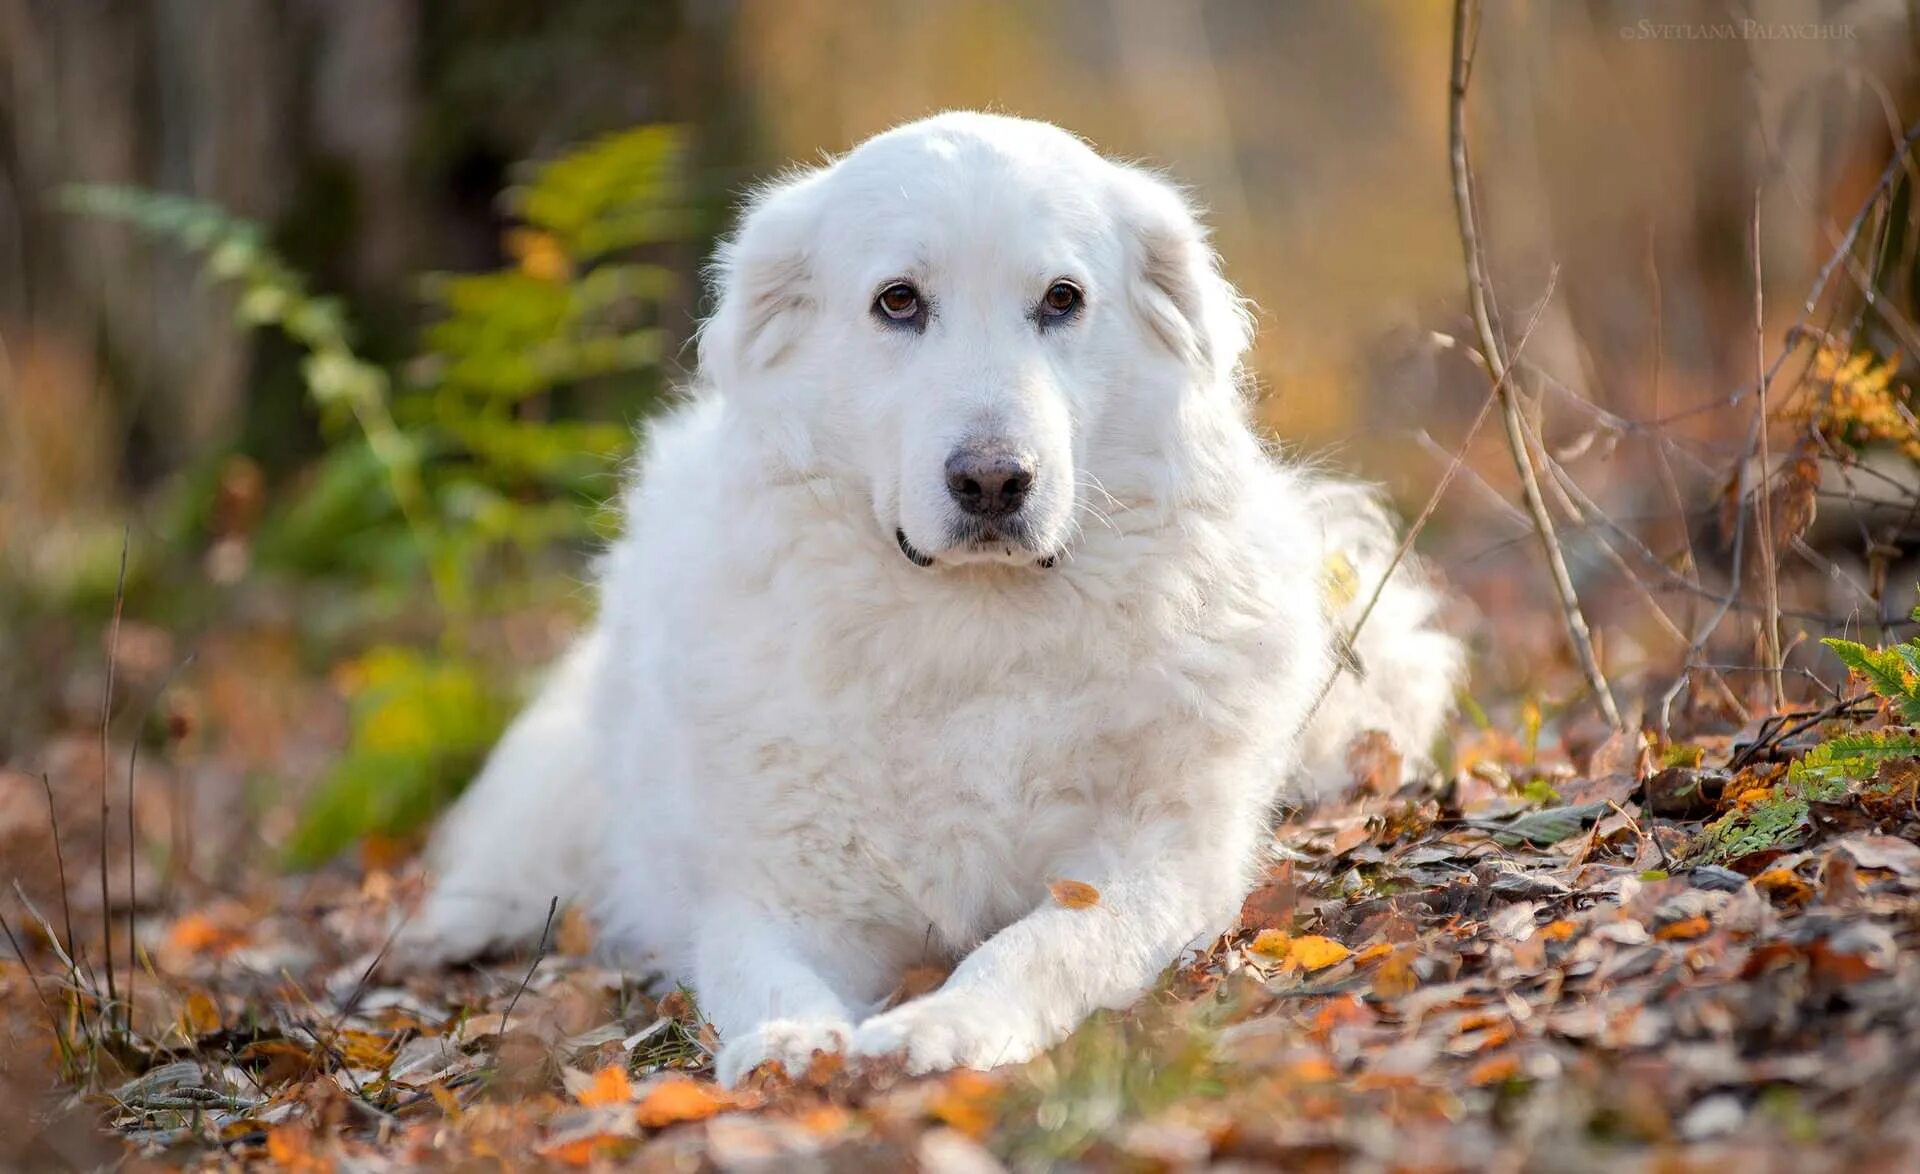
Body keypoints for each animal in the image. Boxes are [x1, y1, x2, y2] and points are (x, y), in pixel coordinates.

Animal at [401, 114, 1451, 1091]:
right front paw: (789, 1044)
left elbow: (1041, 944)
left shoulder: (1154, 862)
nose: (993, 481)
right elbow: (756, 971)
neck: (968, 632)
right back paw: (454, 926)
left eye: (1062, 300)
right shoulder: (785, 892)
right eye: (898, 302)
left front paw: (943, 1026)